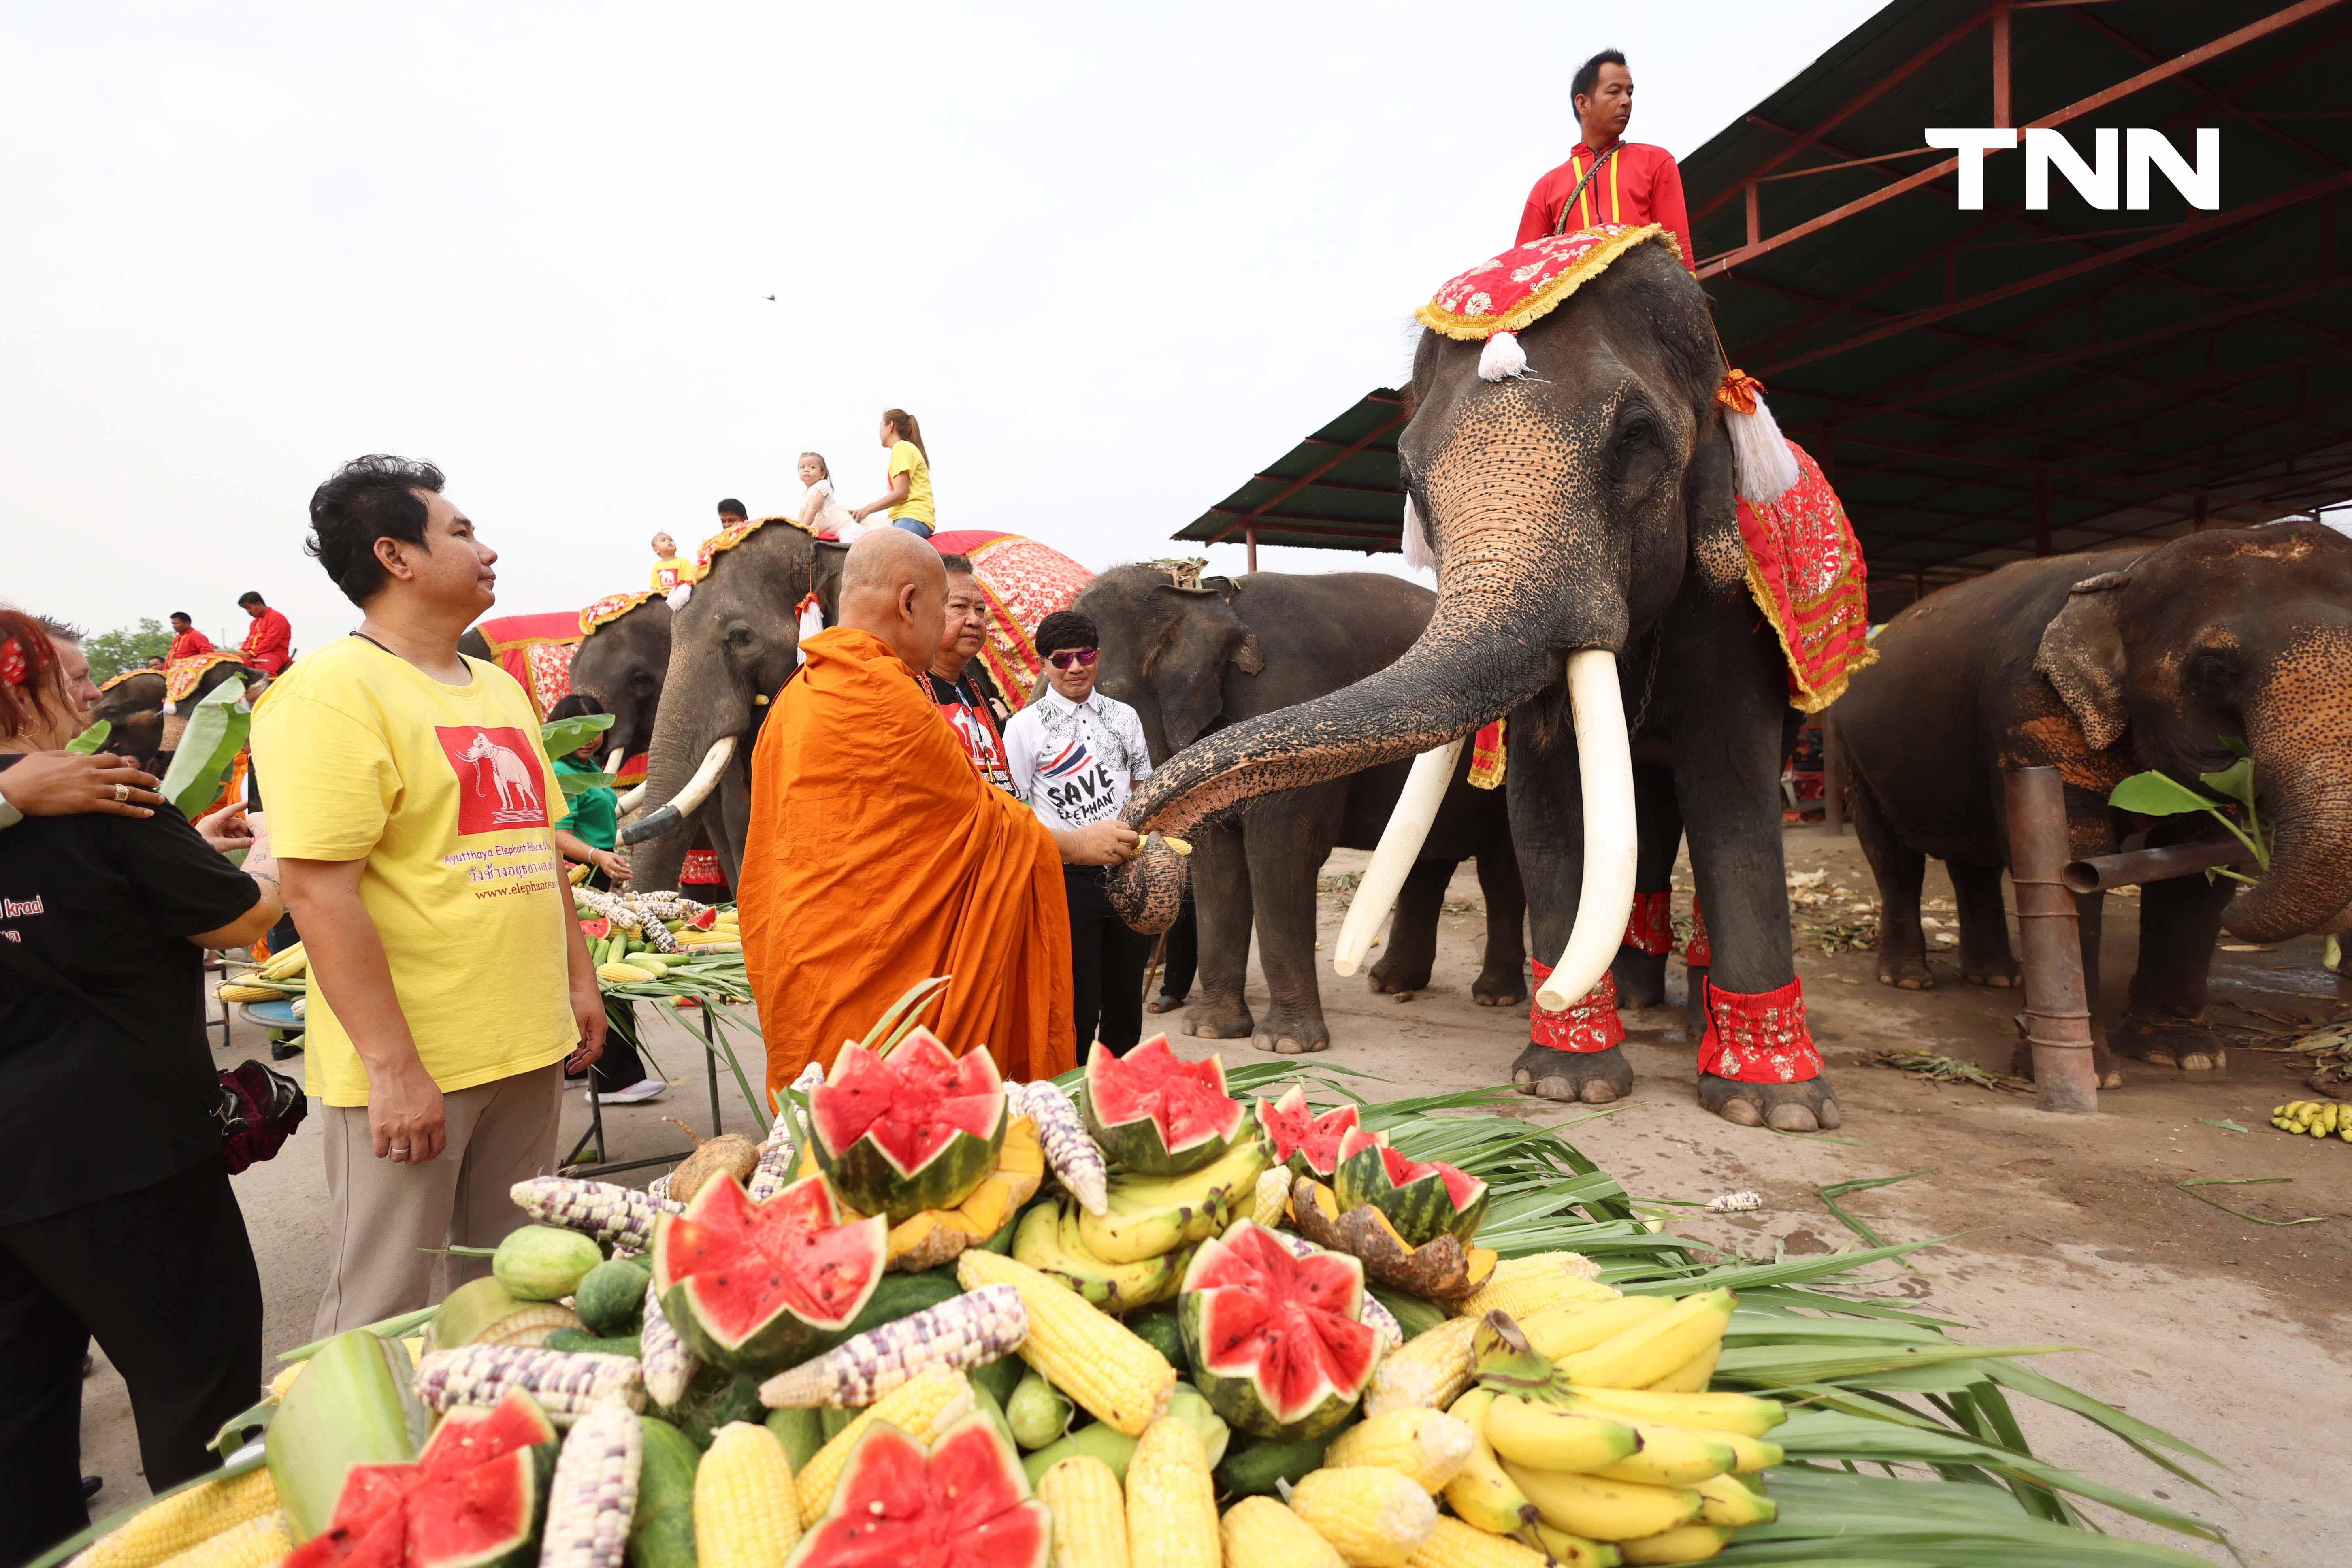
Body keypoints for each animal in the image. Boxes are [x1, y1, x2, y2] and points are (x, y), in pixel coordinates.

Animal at [1077, 564, 1533, 1053]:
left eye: (1103, 696)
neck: (1203, 591)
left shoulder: (1289, 720)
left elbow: (1282, 857)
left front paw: (1285, 1046)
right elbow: (1216, 865)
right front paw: (1211, 1031)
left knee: (1501, 871)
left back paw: (1494, 996)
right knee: (1425, 864)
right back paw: (1390, 984)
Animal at [1825, 522, 2352, 1086]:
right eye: (2214, 672)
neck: (2134, 569)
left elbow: (2197, 868)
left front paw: (2183, 1055)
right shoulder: (2030, 702)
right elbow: (2072, 853)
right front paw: (2082, 1072)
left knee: (1975, 862)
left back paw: (1995, 978)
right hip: (1853, 753)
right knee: (1893, 857)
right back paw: (1908, 979)